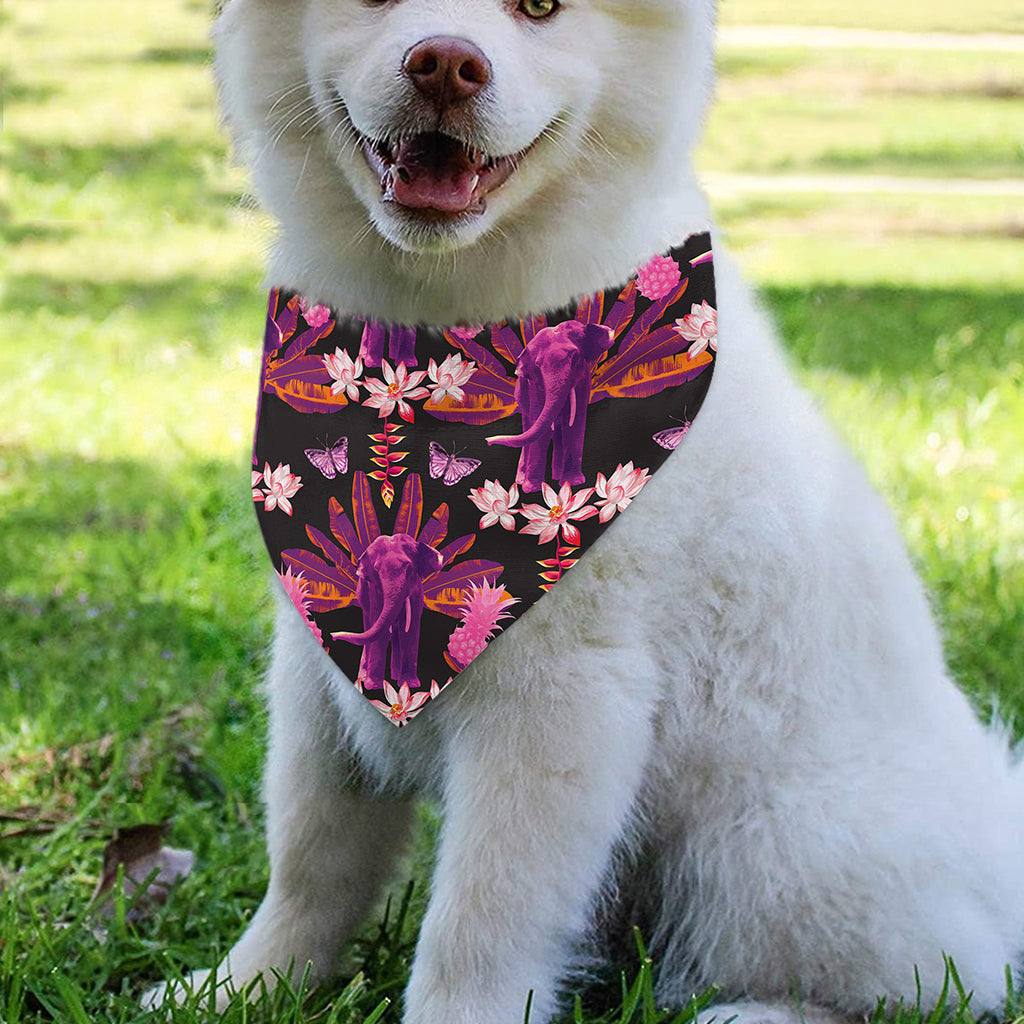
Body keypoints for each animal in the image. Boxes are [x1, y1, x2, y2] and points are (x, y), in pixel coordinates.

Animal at [330, 533, 443, 691]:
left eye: (409, 568)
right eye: (377, 571)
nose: (332, 636)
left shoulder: (417, 591)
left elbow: (411, 629)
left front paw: (411, 684)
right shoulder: (373, 590)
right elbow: (379, 628)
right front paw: (372, 686)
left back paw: (396, 677)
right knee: (370, 626)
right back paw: (363, 677)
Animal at [486, 320, 615, 492]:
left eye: (575, 358)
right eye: (537, 365)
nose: (488, 441)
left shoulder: (584, 379)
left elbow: (575, 423)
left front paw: (574, 483)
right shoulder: (534, 384)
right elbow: (541, 424)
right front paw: (531, 489)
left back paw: (558, 478)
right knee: (529, 425)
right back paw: (522, 480)